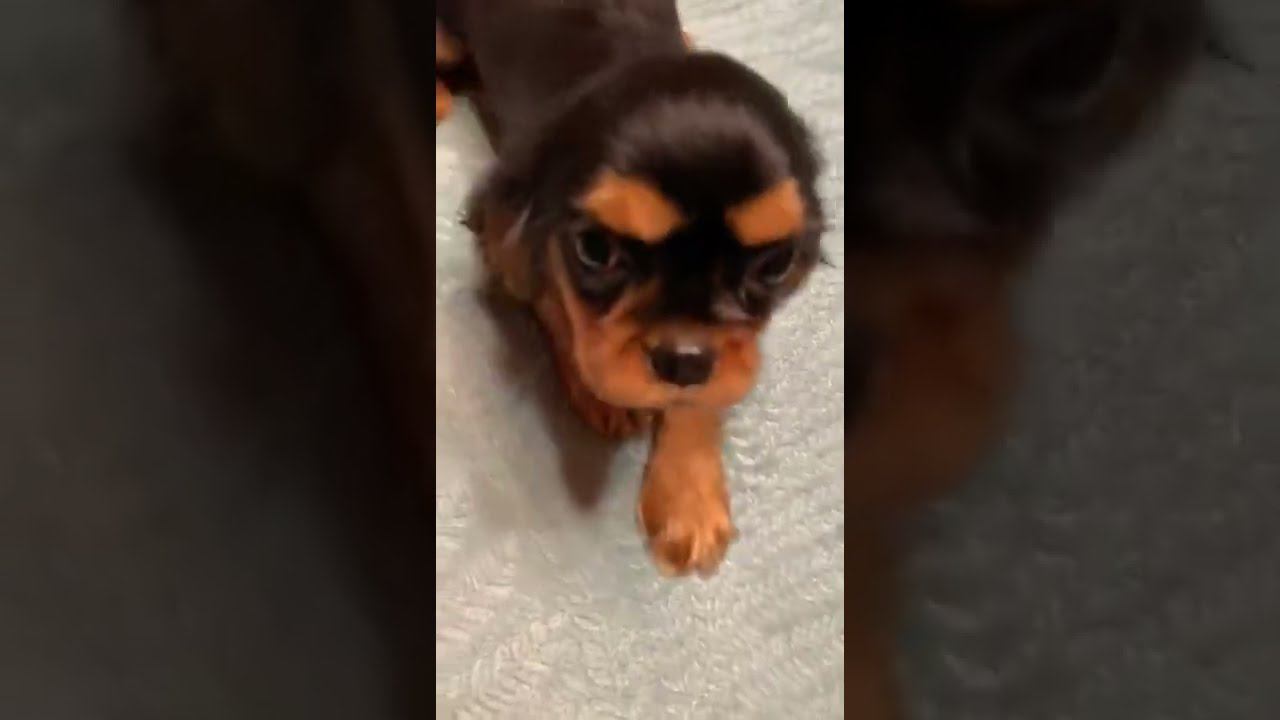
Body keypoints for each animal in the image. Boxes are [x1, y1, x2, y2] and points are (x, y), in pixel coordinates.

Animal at [436, 0, 829, 578]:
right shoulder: (507, 221)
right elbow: (558, 300)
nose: (683, 362)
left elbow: (699, 394)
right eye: (596, 250)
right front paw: (599, 390)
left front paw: (688, 498)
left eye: (776, 264)